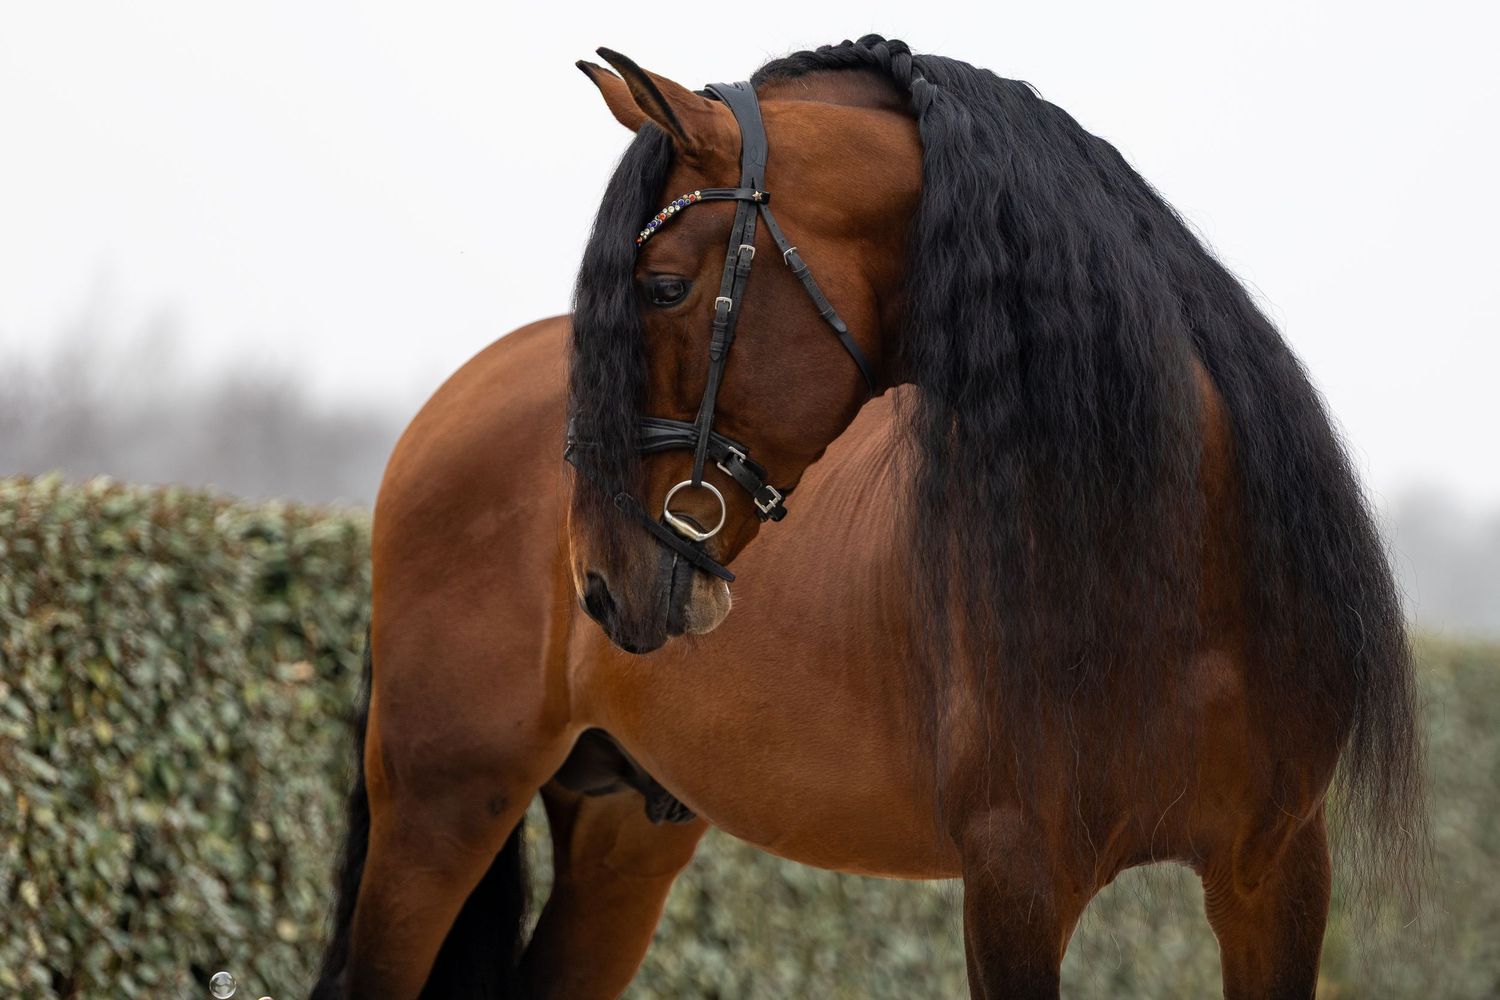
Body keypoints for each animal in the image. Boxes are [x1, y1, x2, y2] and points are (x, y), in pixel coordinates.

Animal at [310, 36, 1423, 1000]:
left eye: (662, 285)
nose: (605, 582)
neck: (1168, 565)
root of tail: (450, 405)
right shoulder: (1017, 878)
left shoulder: (1275, 874)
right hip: (441, 809)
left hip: (624, 835)